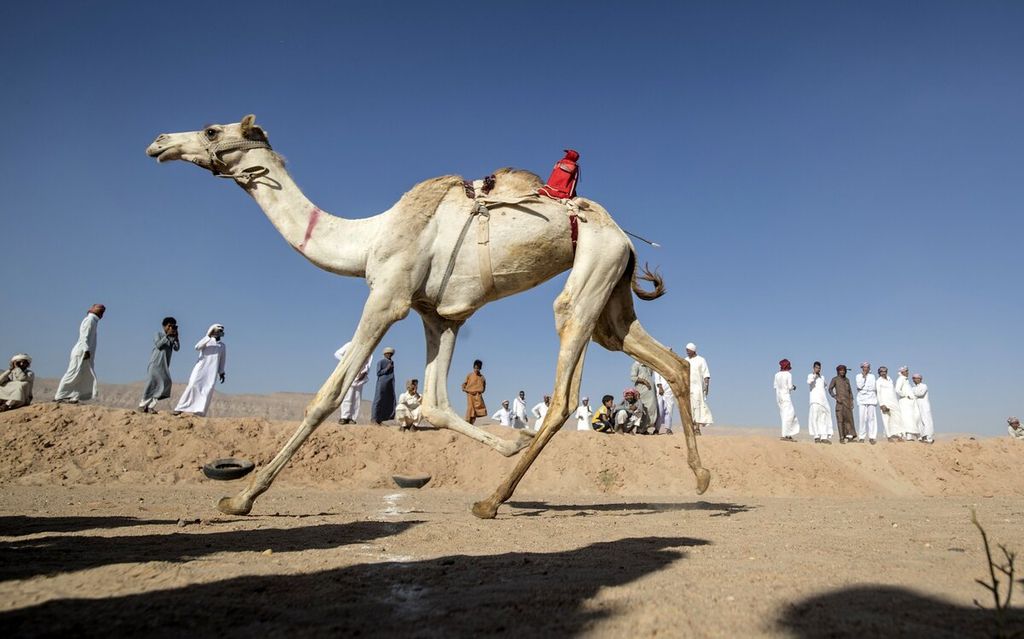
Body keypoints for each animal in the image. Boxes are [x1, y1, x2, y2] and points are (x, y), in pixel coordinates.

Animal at [146, 114, 712, 516]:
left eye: (212, 129)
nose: (158, 142)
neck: (368, 239)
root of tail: (623, 235)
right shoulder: (438, 316)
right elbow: (436, 405)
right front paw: (511, 442)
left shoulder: (387, 297)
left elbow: (329, 394)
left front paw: (242, 497)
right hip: (611, 288)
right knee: (664, 359)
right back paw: (702, 479)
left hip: (589, 273)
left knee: (565, 394)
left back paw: (491, 500)